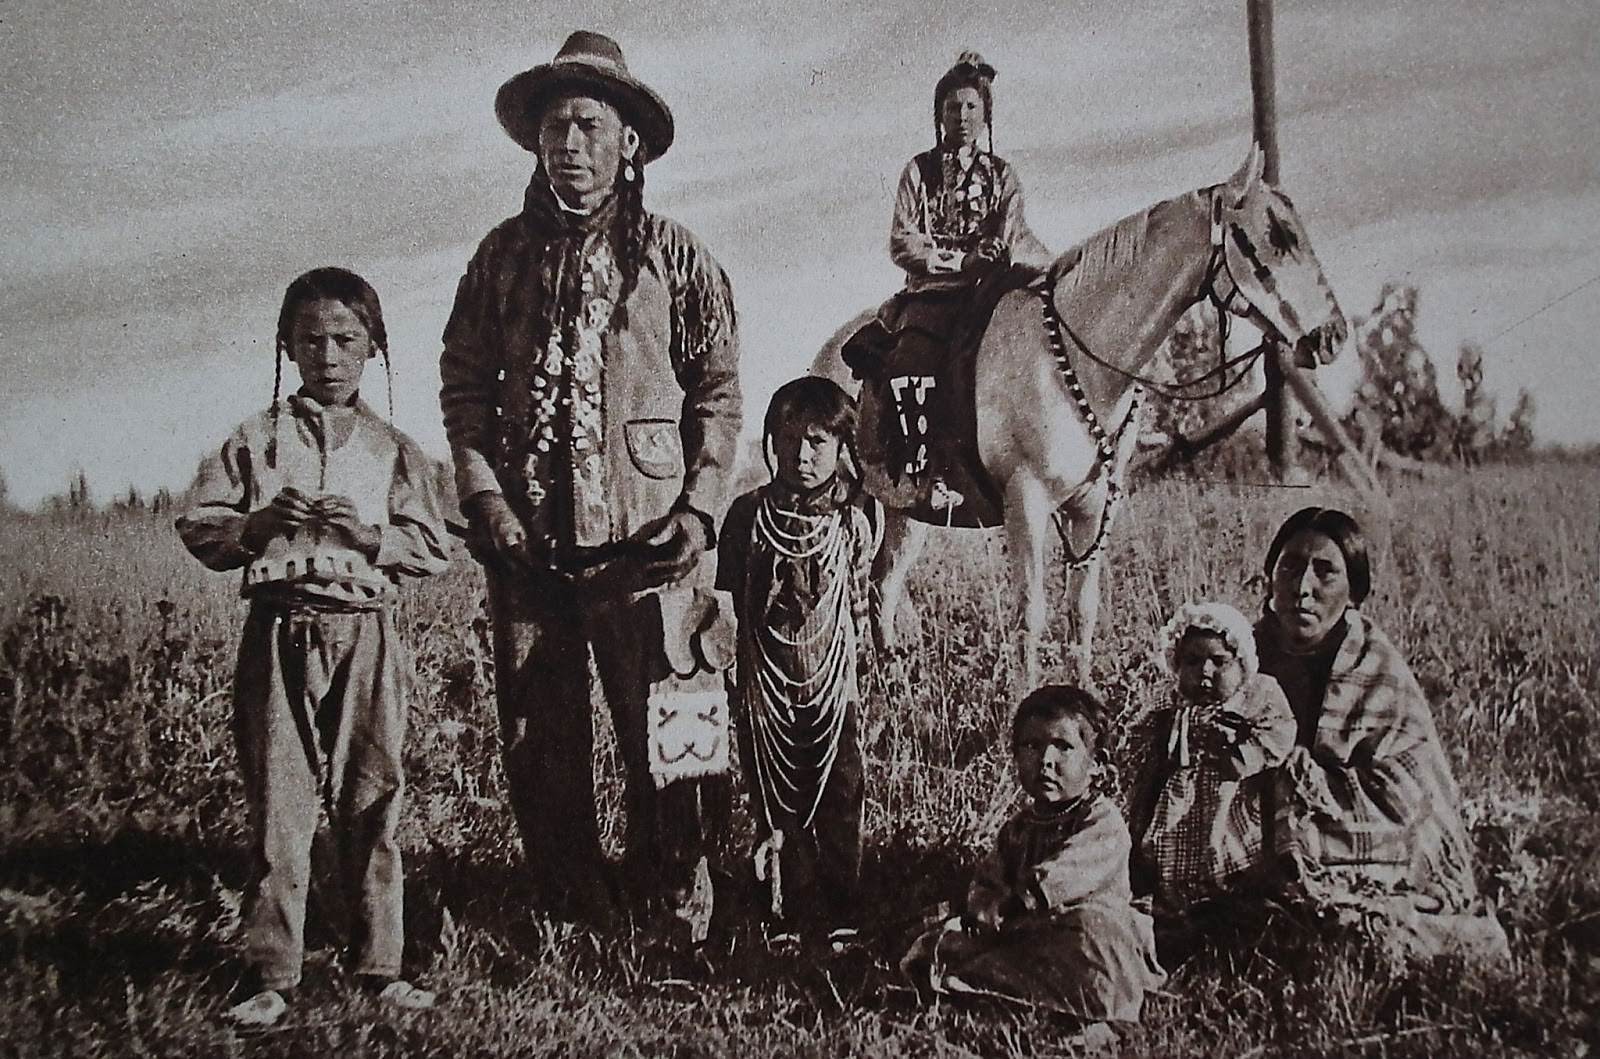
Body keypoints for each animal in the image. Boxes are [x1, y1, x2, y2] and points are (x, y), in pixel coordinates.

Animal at [812, 145, 1350, 684]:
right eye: (1275, 236)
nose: (1333, 336)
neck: (1073, 358)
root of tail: (826, 356)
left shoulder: (1091, 506)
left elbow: (1081, 611)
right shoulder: (1025, 504)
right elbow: (1030, 614)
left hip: (907, 511)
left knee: (883, 583)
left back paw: (895, 681)